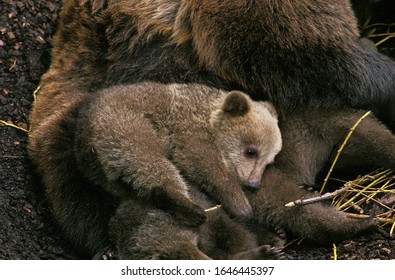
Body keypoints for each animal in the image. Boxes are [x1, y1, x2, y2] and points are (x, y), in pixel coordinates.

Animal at [29, 81, 284, 258]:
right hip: (122, 126)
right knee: (147, 162)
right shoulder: (187, 128)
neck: (209, 114)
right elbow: (203, 162)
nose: (253, 183)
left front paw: (275, 235)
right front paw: (241, 205)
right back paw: (188, 208)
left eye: (270, 160)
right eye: (251, 151)